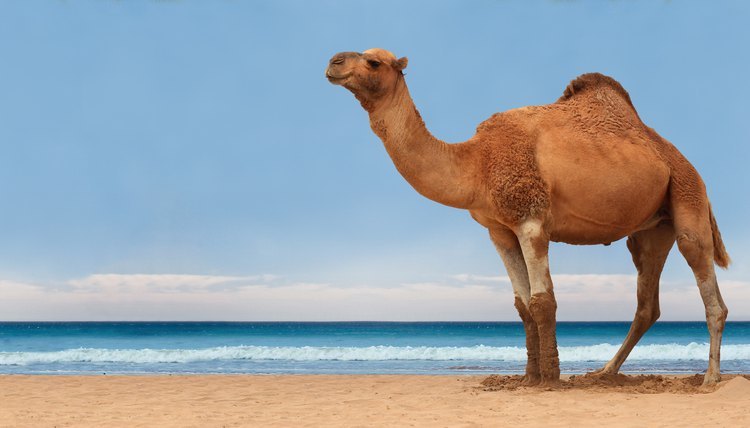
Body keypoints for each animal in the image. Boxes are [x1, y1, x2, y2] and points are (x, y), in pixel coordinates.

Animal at [325, 48, 730, 387]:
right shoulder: (499, 230)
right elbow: (522, 306)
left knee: (706, 281)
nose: (333, 62)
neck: (477, 162)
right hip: (652, 230)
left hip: (687, 194)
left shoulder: (531, 220)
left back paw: (710, 378)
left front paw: (549, 379)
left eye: (373, 62)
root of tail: (683, 160)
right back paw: (603, 373)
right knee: (647, 303)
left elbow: (542, 301)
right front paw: (528, 378)